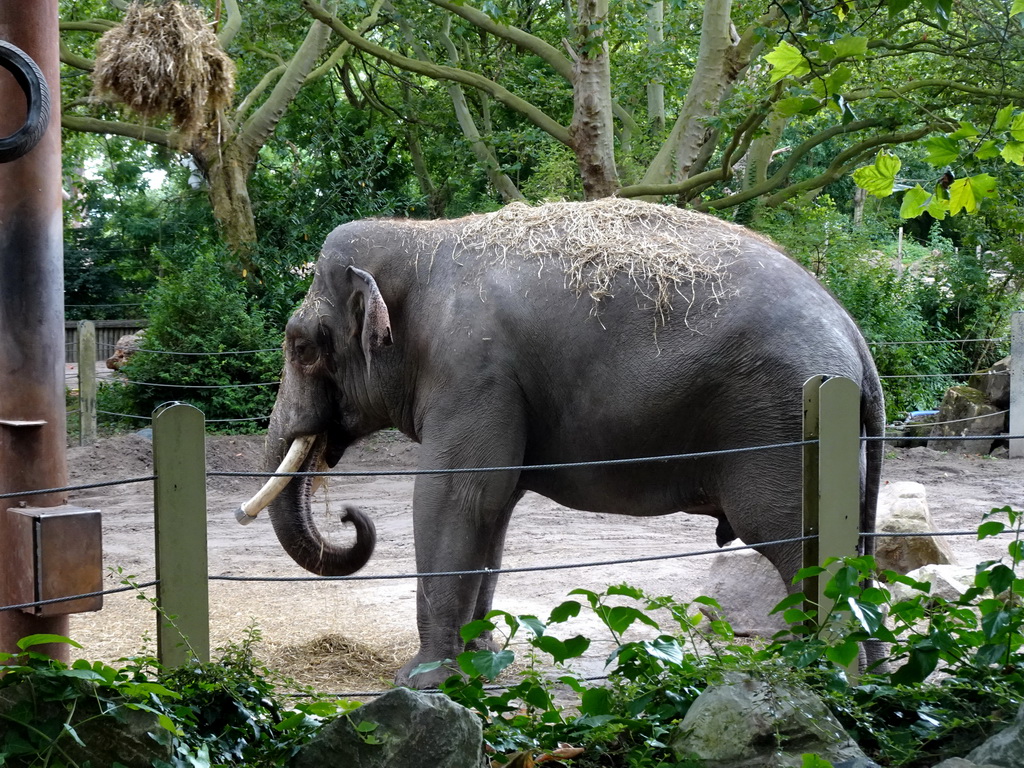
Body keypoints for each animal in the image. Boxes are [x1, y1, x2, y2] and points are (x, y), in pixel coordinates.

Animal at [235, 198, 884, 692]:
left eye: (302, 349)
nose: (348, 514)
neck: (422, 237)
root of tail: (855, 336)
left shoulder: (474, 371)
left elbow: (450, 498)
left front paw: (419, 683)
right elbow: (490, 511)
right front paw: (479, 670)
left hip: (782, 423)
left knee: (800, 548)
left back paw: (821, 678)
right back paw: (870, 679)